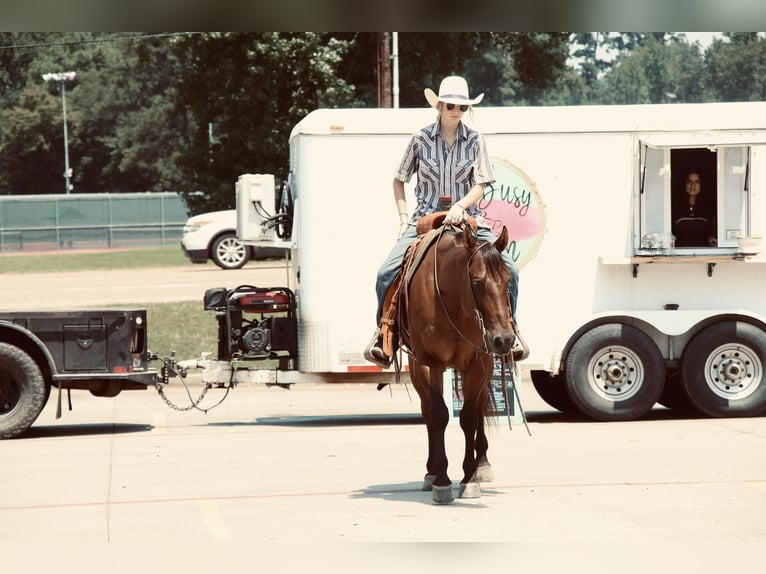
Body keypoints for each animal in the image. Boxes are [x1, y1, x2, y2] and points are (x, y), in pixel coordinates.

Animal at [402, 220, 516, 504]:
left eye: (508, 281)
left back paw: (482, 463)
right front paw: (442, 480)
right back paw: (430, 472)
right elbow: (439, 415)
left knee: (479, 407)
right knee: (427, 411)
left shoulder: (478, 361)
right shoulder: (428, 363)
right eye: (476, 282)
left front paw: (470, 477)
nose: (505, 339)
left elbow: (469, 417)